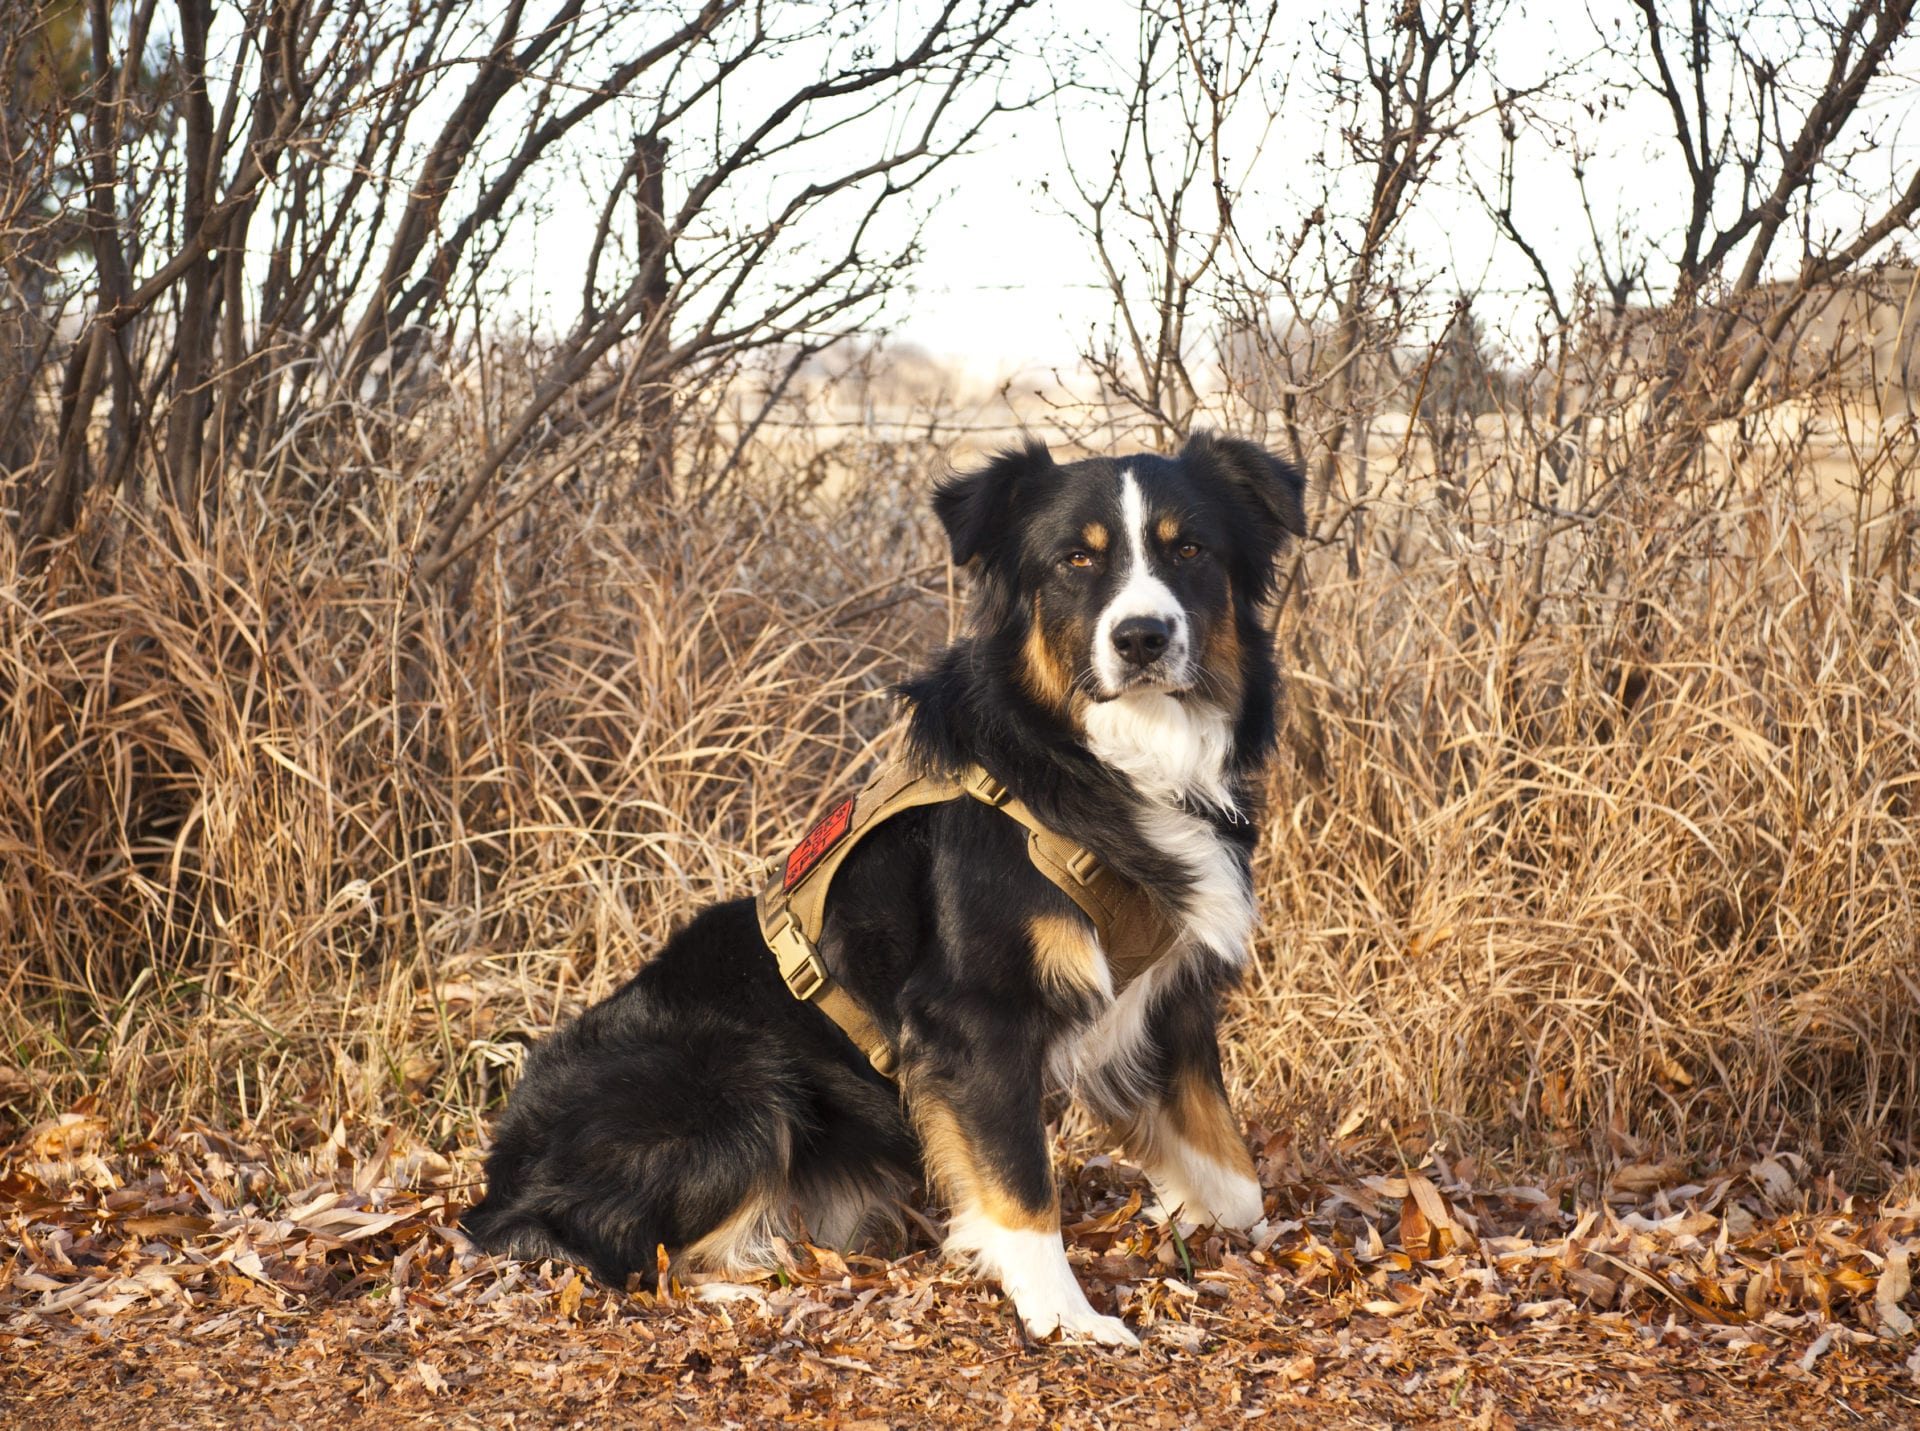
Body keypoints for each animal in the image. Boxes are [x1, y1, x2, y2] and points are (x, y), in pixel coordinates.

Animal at [462, 430, 1305, 1344]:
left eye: (1189, 550)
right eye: (1076, 560)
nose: (1142, 637)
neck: (1096, 758)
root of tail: (498, 1187)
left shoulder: (1164, 998)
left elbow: (1233, 1173)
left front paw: (1224, 1230)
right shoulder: (972, 1017)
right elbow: (1023, 1186)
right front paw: (1066, 1316)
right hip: (740, 1082)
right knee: (627, 1253)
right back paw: (756, 1289)